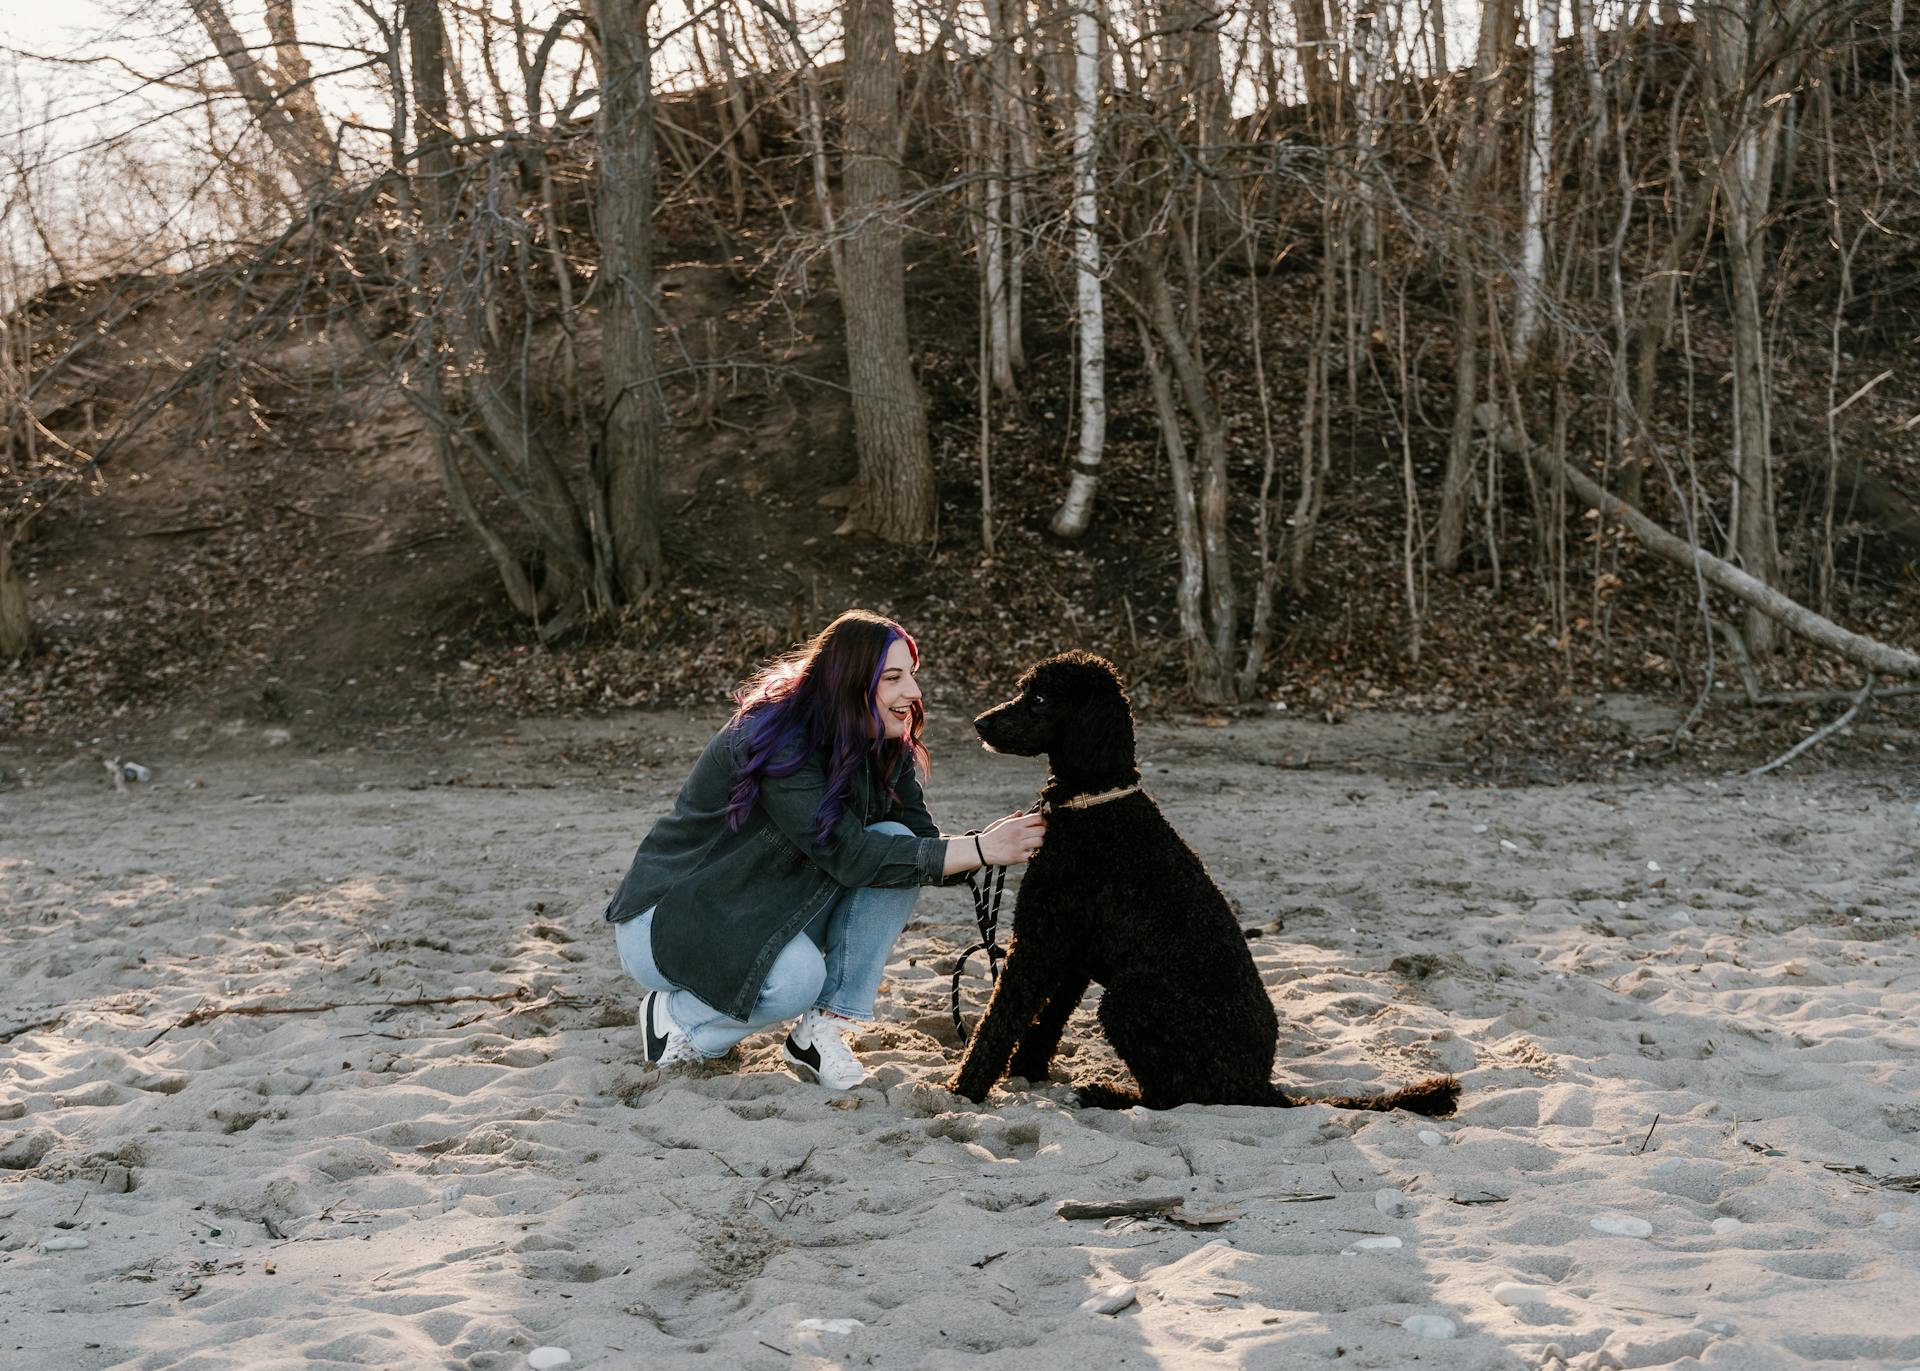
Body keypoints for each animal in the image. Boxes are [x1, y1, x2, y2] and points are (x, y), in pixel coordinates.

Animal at [952, 649, 1459, 1113]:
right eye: (1023, 689)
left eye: (1038, 698)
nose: (978, 724)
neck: (1097, 802)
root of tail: (1259, 1085)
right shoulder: (1070, 949)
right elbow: (1046, 1019)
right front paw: (1026, 1071)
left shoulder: (1038, 941)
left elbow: (1001, 1018)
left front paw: (965, 1088)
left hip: (1131, 998)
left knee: (1174, 1097)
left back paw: (1106, 1095)